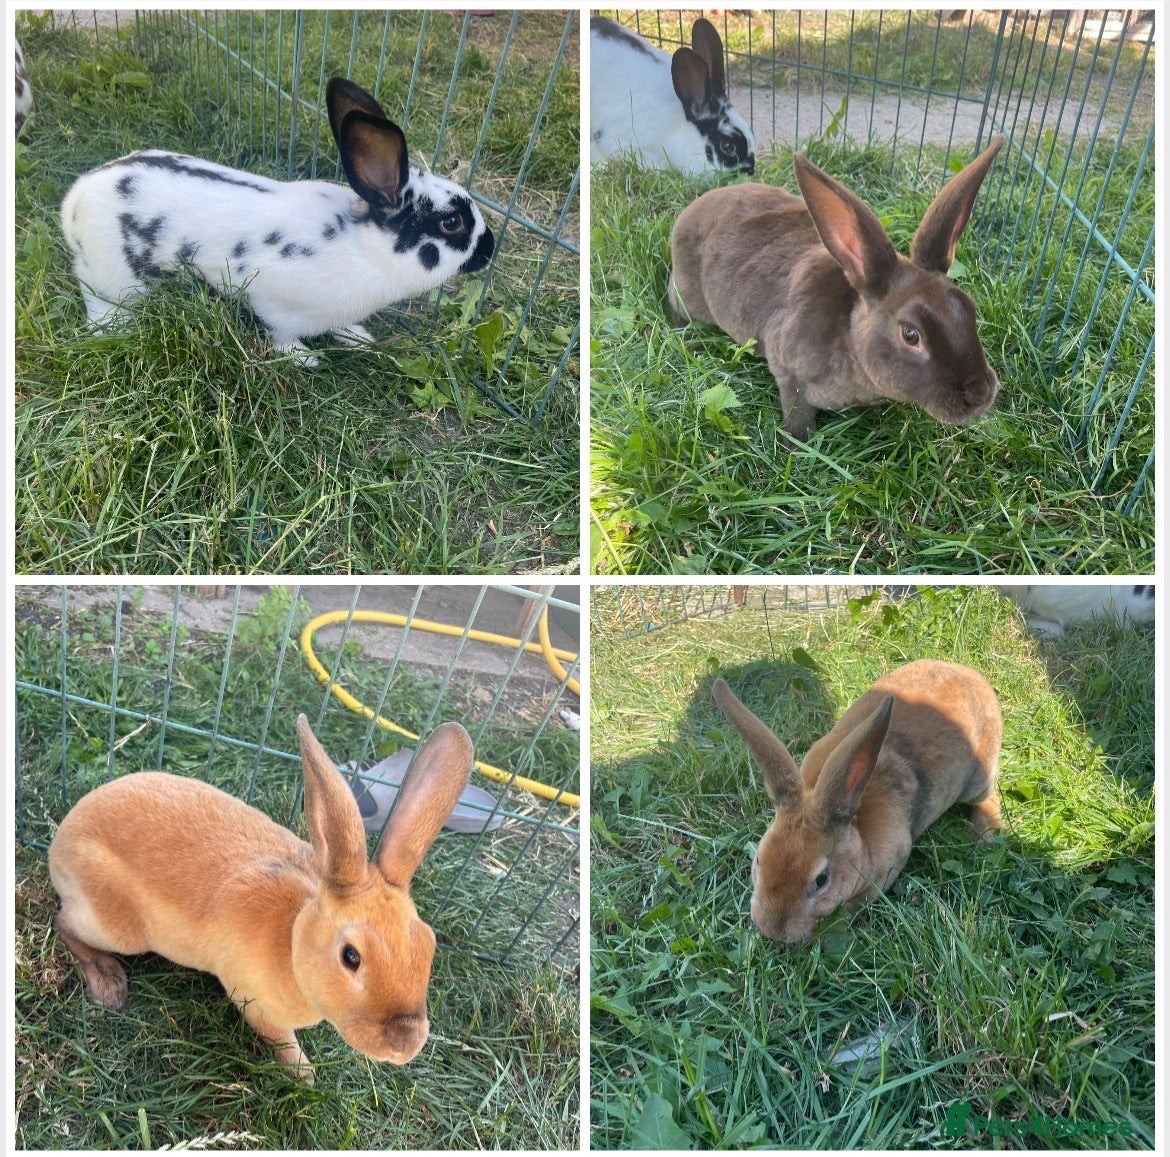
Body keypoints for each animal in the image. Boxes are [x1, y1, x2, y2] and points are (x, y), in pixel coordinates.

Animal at [48, 714, 473, 1082]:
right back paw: (108, 982)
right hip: (118, 928)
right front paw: (305, 1075)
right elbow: (281, 1041)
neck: (292, 939)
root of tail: (61, 841)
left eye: (428, 946)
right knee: (64, 923)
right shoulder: (256, 1005)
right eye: (351, 956)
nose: (405, 1043)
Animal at [60, 77, 494, 367]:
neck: (365, 249)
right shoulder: (276, 306)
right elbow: (282, 335)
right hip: (111, 279)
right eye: (452, 222)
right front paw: (305, 359)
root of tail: (74, 199)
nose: (490, 248)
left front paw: (360, 339)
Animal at [669, 137, 1004, 441]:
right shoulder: (788, 372)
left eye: (970, 309)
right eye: (911, 335)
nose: (980, 394)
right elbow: (796, 412)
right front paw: (797, 444)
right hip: (689, 297)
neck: (851, 337)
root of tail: (692, 210)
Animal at [713, 658, 1002, 943]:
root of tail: (974, 678)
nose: (773, 932)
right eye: (759, 861)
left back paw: (984, 833)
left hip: (976, 782)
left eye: (821, 880)